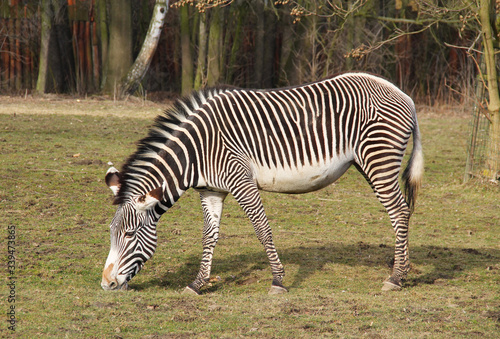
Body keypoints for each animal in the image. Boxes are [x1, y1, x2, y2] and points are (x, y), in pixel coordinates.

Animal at [100, 72, 422, 294]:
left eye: (129, 234)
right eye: (111, 233)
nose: (106, 284)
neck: (196, 152)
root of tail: (402, 93)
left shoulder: (241, 181)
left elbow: (262, 229)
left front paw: (278, 281)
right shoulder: (211, 190)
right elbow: (209, 236)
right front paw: (197, 284)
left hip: (379, 160)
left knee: (399, 212)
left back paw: (396, 277)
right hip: (367, 163)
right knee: (400, 212)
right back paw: (400, 270)